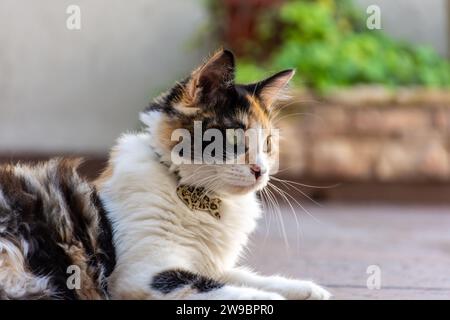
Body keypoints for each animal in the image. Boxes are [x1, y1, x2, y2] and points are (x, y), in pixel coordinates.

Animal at [0, 50, 330, 300]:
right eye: (235, 139)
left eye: (268, 144)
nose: (262, 171)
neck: (201, 200)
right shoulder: (143, 273)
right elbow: (218, 288)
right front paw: (273, 298)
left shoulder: (209, 264)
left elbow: (246, 276)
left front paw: (306, 289)